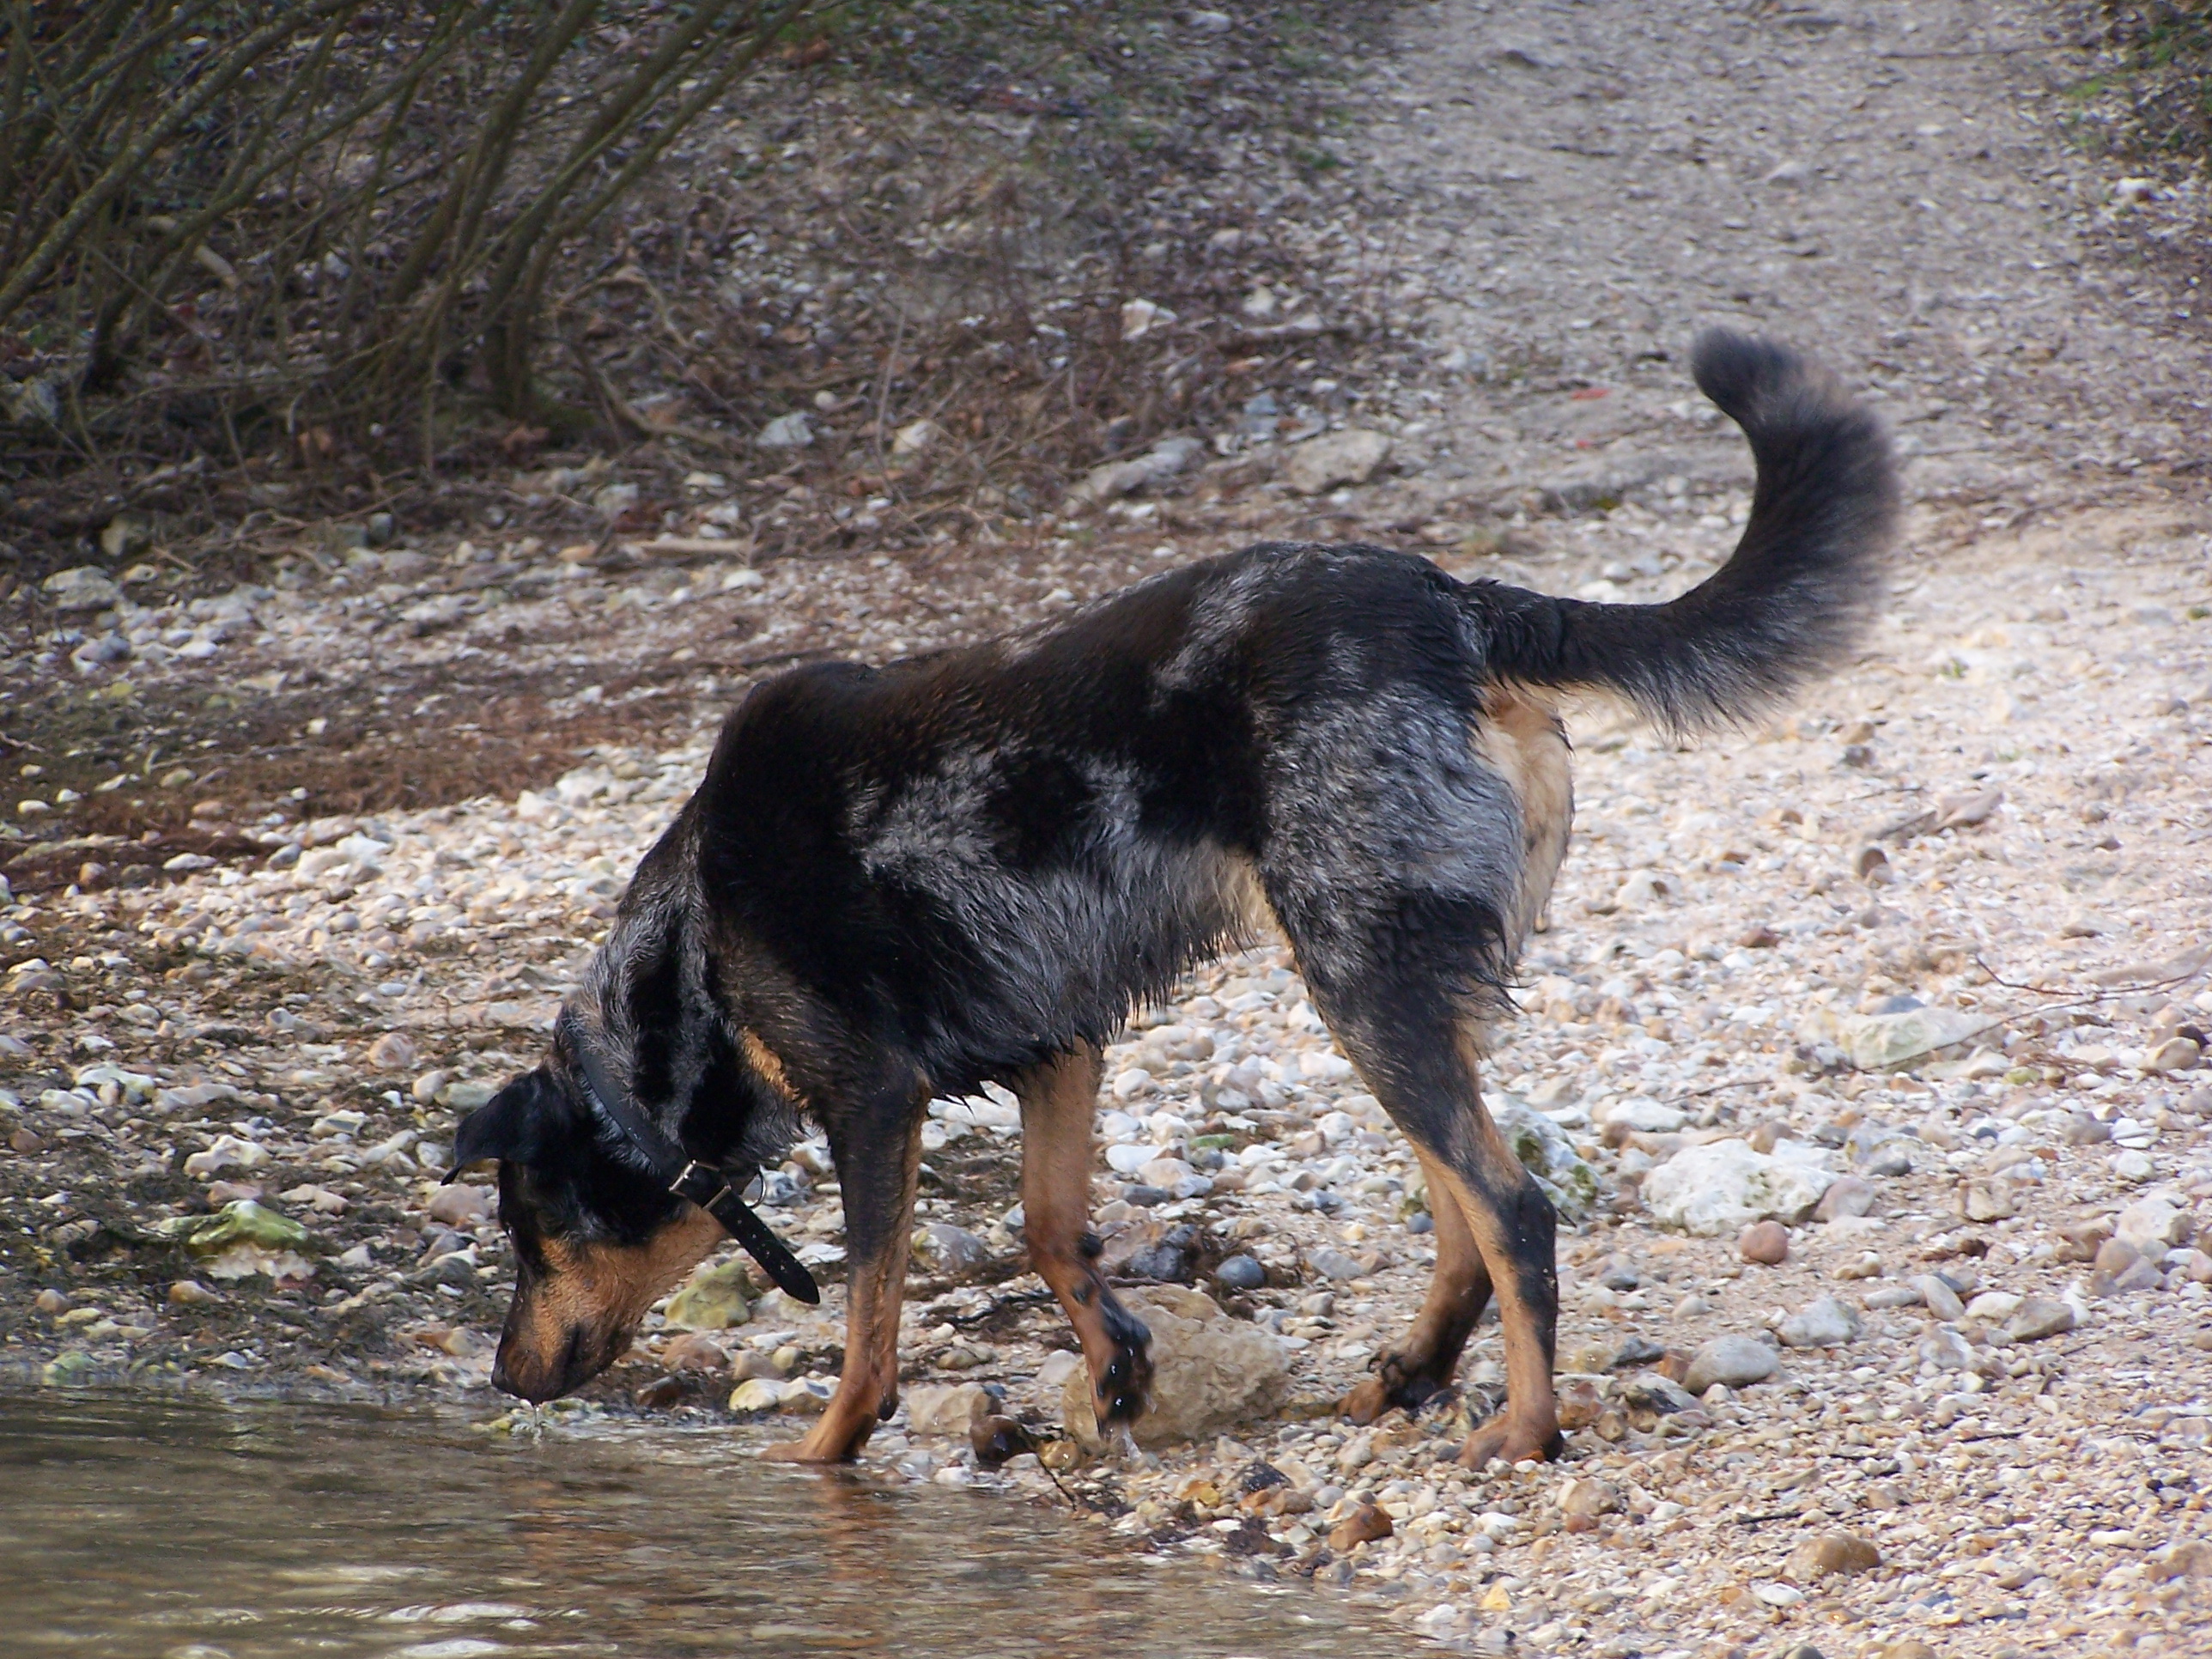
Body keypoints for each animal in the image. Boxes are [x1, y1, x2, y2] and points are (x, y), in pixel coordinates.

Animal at [453, 327, 1902, 1468]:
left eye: (529, 1234)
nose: (502, 1380)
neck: (693, 954)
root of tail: (1457, 605)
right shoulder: (1057, 1045)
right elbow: (1050, 1231)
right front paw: (1116, 1369)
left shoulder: (875, 1105)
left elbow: (871, 1323)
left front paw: (826, 1453)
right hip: (1403, 990)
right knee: (1460, 1217)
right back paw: (1415, 1374)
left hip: (1362, 985)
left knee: (1513, 1213)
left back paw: (1528, 1428)